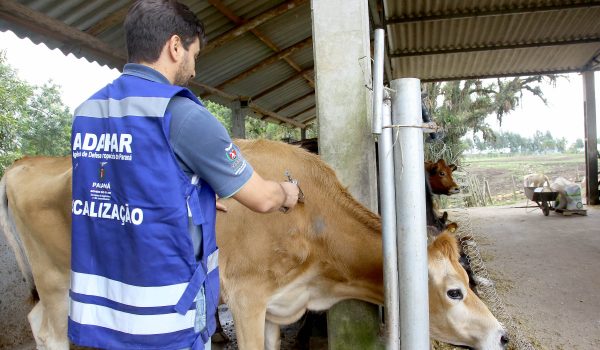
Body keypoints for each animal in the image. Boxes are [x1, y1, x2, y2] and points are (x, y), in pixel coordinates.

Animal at [1, 139, 506, 350]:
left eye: (469, 279)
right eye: (454, 291)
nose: (502, 335)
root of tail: (26, 163)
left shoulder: (276, 306)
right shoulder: (246, 296)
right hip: (55, 278)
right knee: (49, 331)